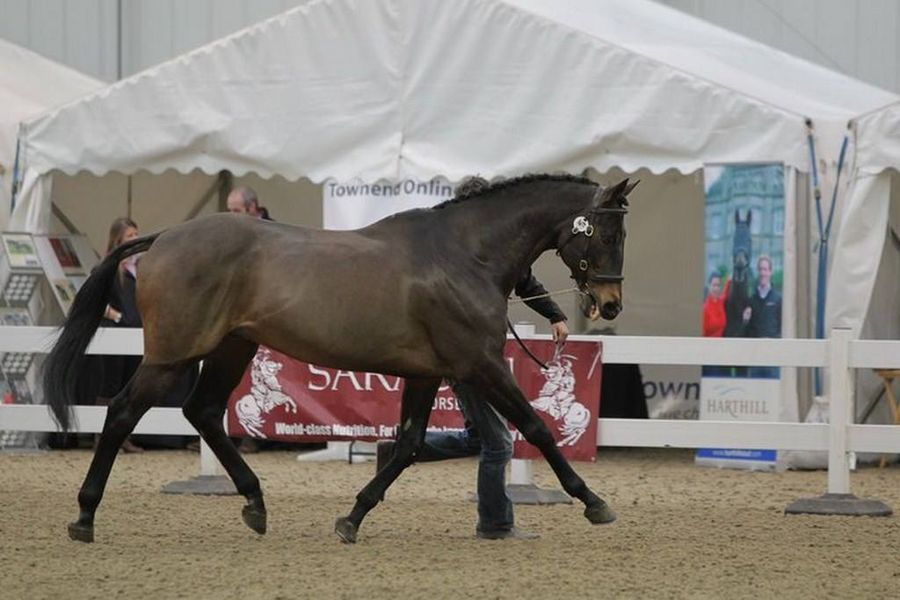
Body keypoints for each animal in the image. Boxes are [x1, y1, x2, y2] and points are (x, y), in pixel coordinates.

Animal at [43, 173, 635, 544]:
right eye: (606, 231)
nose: (610, 304)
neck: (465, 255)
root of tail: (163, 237)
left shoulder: (428, 373)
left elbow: (408, 445)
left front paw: (351, 517)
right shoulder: (479, 365)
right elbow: (536, 427)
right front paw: (593, 502)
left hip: (234, 346)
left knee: (204, 412)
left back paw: (255, 505)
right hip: (170, 355)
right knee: (123, 413)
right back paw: (84, 515)